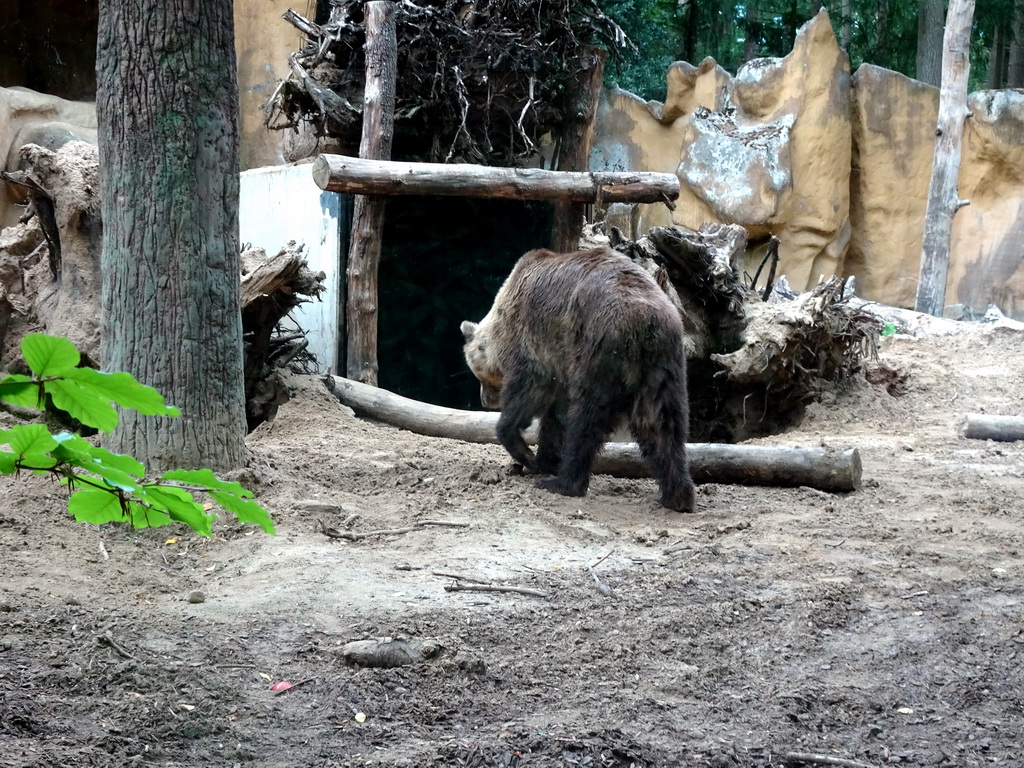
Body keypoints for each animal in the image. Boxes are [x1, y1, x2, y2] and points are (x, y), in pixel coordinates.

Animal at [462, 246, 696, 512]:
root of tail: (643, 321)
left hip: (597, 349)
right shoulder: (561, 364)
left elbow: (530, 390)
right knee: (662, 425)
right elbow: (554, 417)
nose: (485, 400)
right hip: (663, 365)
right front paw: (544, 460)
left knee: (586, 419)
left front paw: (527, 455)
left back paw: (563, 483)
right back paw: (677, 496)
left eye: (478, 374)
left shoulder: (534, 341)